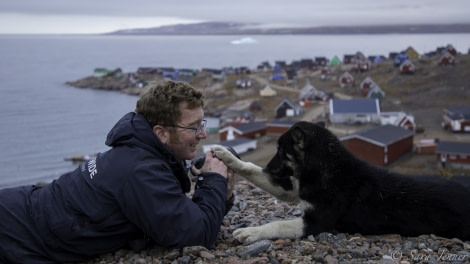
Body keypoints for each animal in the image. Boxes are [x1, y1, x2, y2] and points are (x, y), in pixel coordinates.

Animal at [213, 121, 470, 243]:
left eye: (280, 151)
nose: (268, 168)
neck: (325, 169)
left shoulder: (315, 222)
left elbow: (277, 225)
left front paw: (251, 232)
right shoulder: (292, 189)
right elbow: (249, 168)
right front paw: (226, 156)